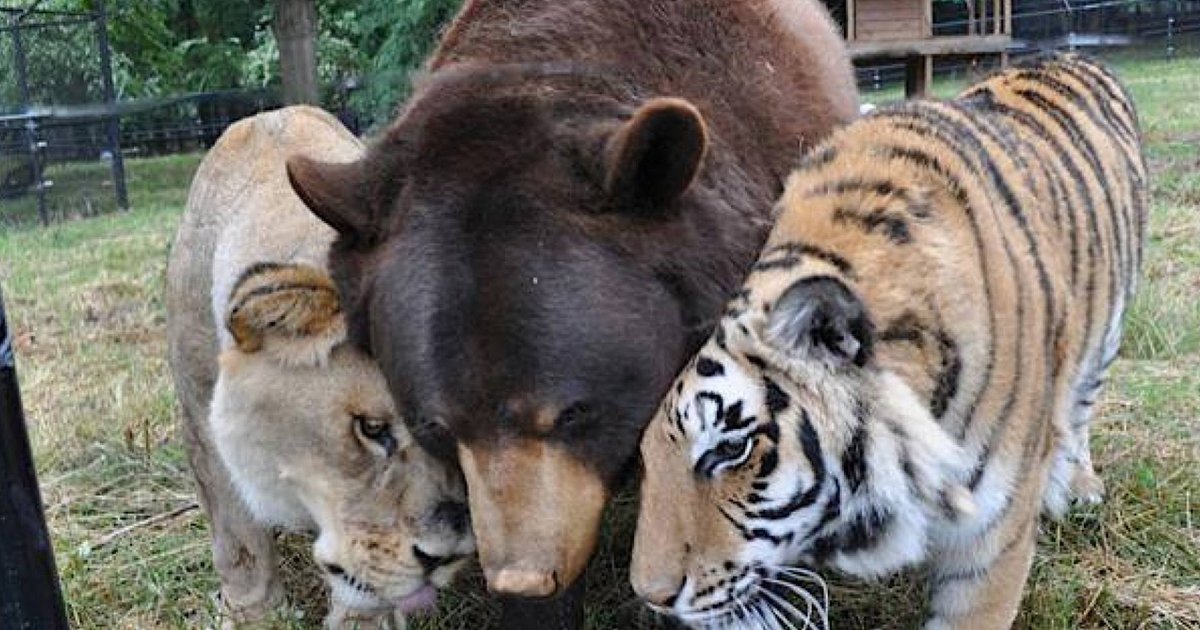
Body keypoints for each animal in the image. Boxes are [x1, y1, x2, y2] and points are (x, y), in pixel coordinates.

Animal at [630, 53, 1147, 630]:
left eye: (730, 449)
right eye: (645, 457)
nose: (650, 594)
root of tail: (1069, 54)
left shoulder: (993, 534)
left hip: (1107, 334)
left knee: (1079, 408)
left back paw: (1078, 487)